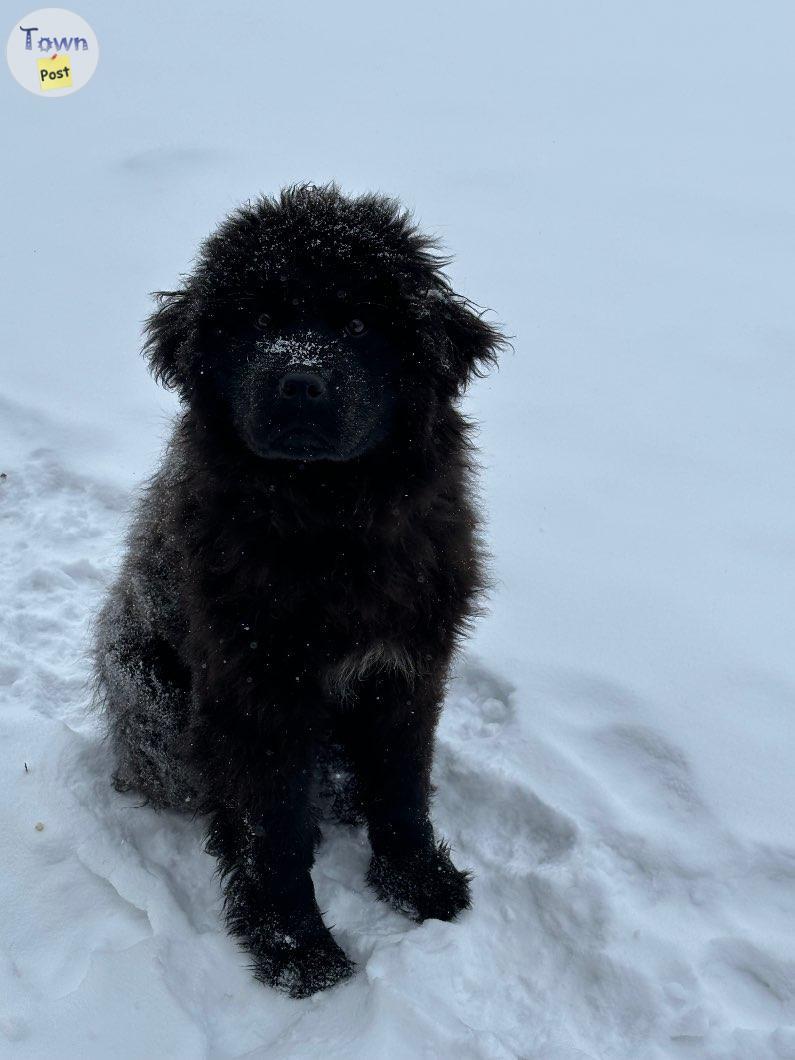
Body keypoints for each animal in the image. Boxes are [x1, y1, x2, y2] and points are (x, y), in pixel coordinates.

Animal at [93, 182, 504, 992]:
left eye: (358, 323)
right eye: (256, 322)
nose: (301, 381)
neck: (330, 520)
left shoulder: (407, 666)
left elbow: (402, 784)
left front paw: (417, 880)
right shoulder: (258, 685)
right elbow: (274, 829)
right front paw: (297, 952)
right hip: (150, 689)